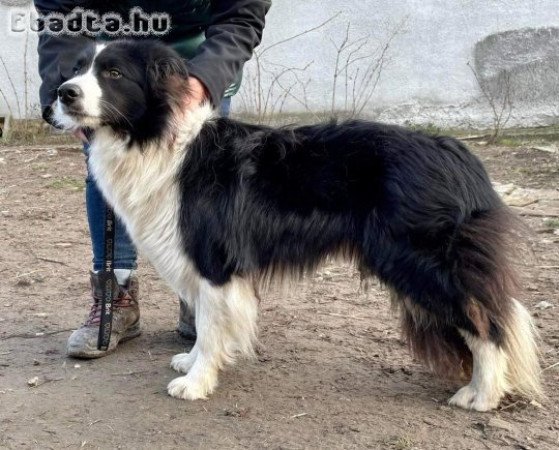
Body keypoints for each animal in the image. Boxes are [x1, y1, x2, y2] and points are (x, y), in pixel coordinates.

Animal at [52, 41, 544, 412]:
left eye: (114, 73)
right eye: (77, 69)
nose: (63, 93)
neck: (158, 139)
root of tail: (459, 154)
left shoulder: (215, 259)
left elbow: (211, 325)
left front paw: (196, 381)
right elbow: (208, 320)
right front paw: (191, 362)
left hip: (420, 260)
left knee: (488, 322)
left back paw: (482, 394)